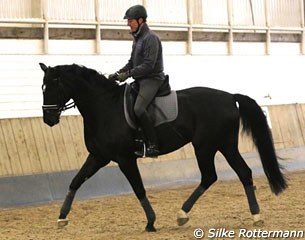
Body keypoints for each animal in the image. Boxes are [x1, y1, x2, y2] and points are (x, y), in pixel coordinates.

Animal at [39, 62, 286, 232]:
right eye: (43, 87)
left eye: (52, 87)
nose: (48, 119)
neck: (104, 107)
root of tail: (229, 96)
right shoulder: (98, 157)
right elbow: (75, 181)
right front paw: (61, 217)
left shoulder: (125, 159)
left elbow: (139, 189)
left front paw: (150, 222)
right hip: (224, 146)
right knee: (239, 173)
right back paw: (252, 216)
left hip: (206, 146)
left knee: (211, 176)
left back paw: (185, 214)